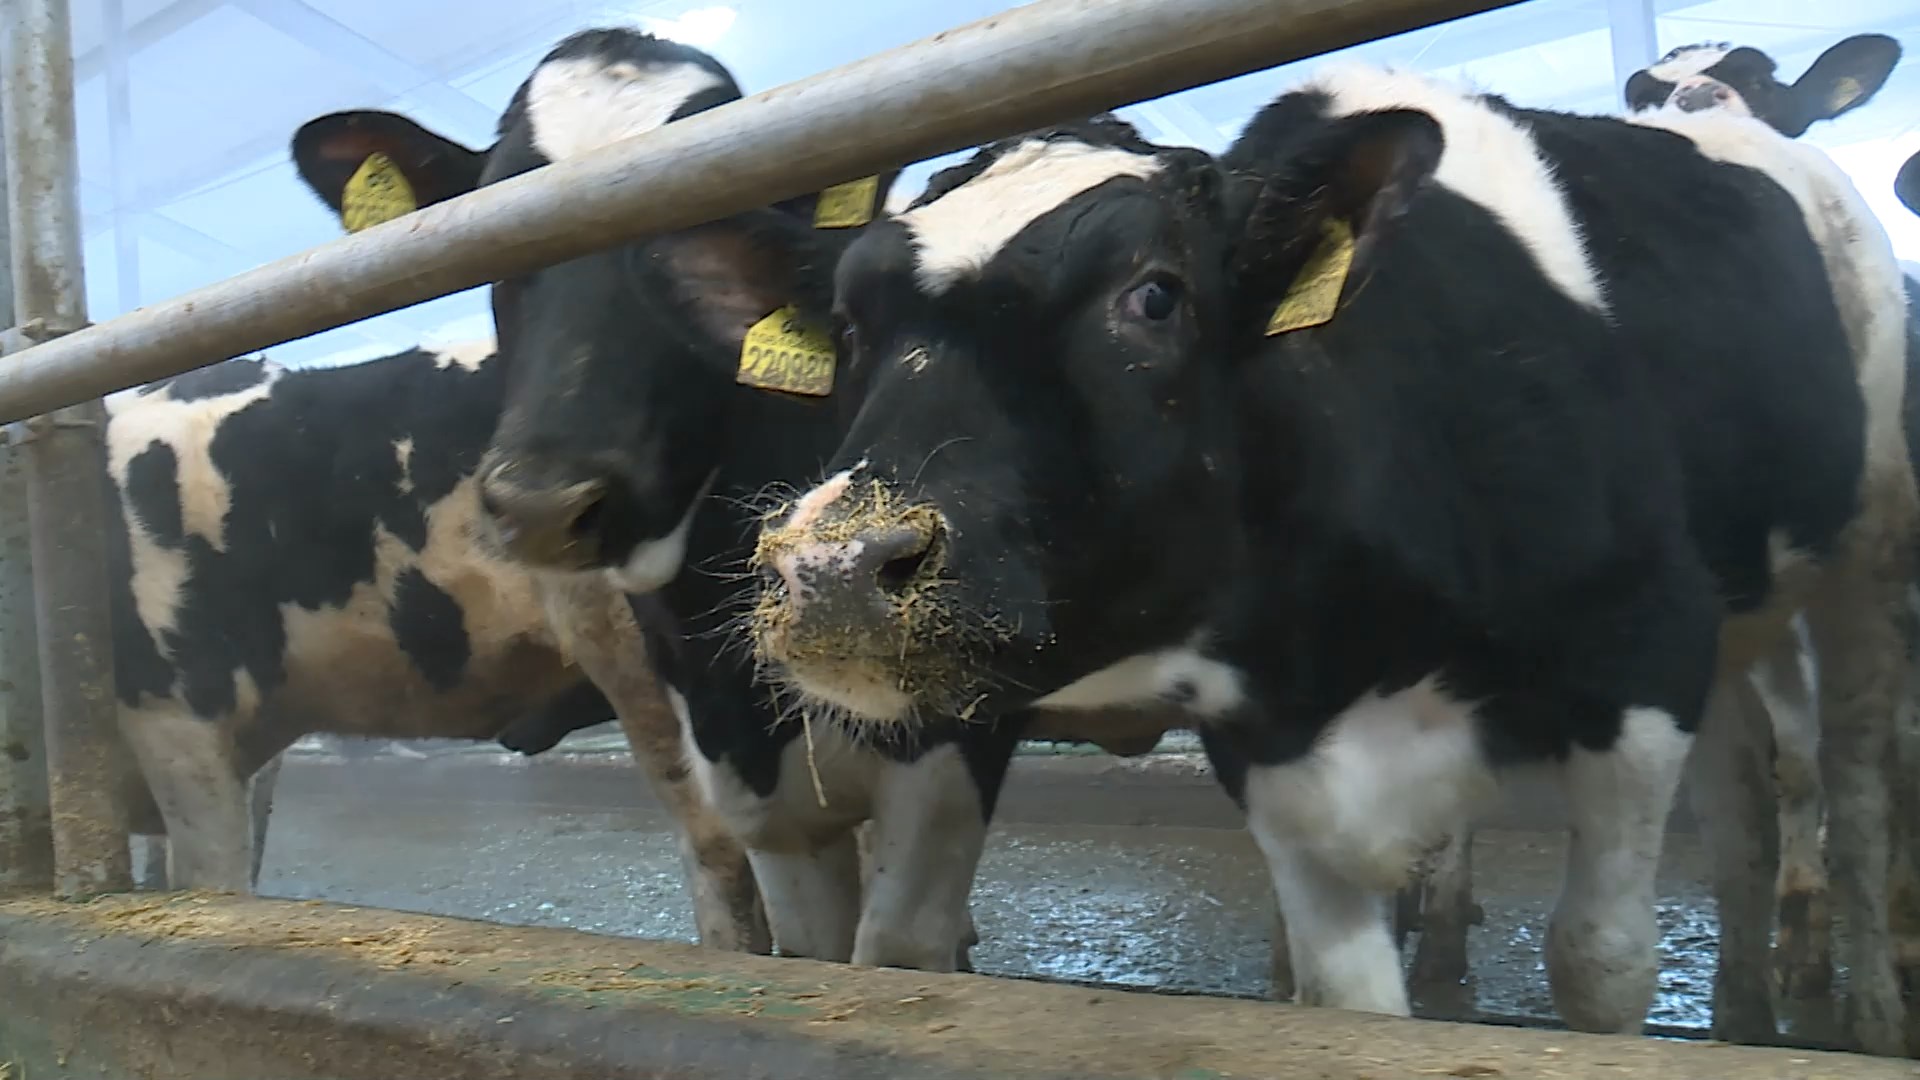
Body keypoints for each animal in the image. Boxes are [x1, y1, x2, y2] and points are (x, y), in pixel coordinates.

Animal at [748, 65, 1920, 1053]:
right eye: (846, 322)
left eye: (1155, 294)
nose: (836, 566)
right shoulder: (1272, 737)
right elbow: (1349, 1001)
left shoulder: (1644, 649)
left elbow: (1600, 963)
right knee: (1742, 811)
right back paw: (1743, 1016)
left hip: (1865, 555)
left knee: (1857, 787)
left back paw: (1866, 1008)